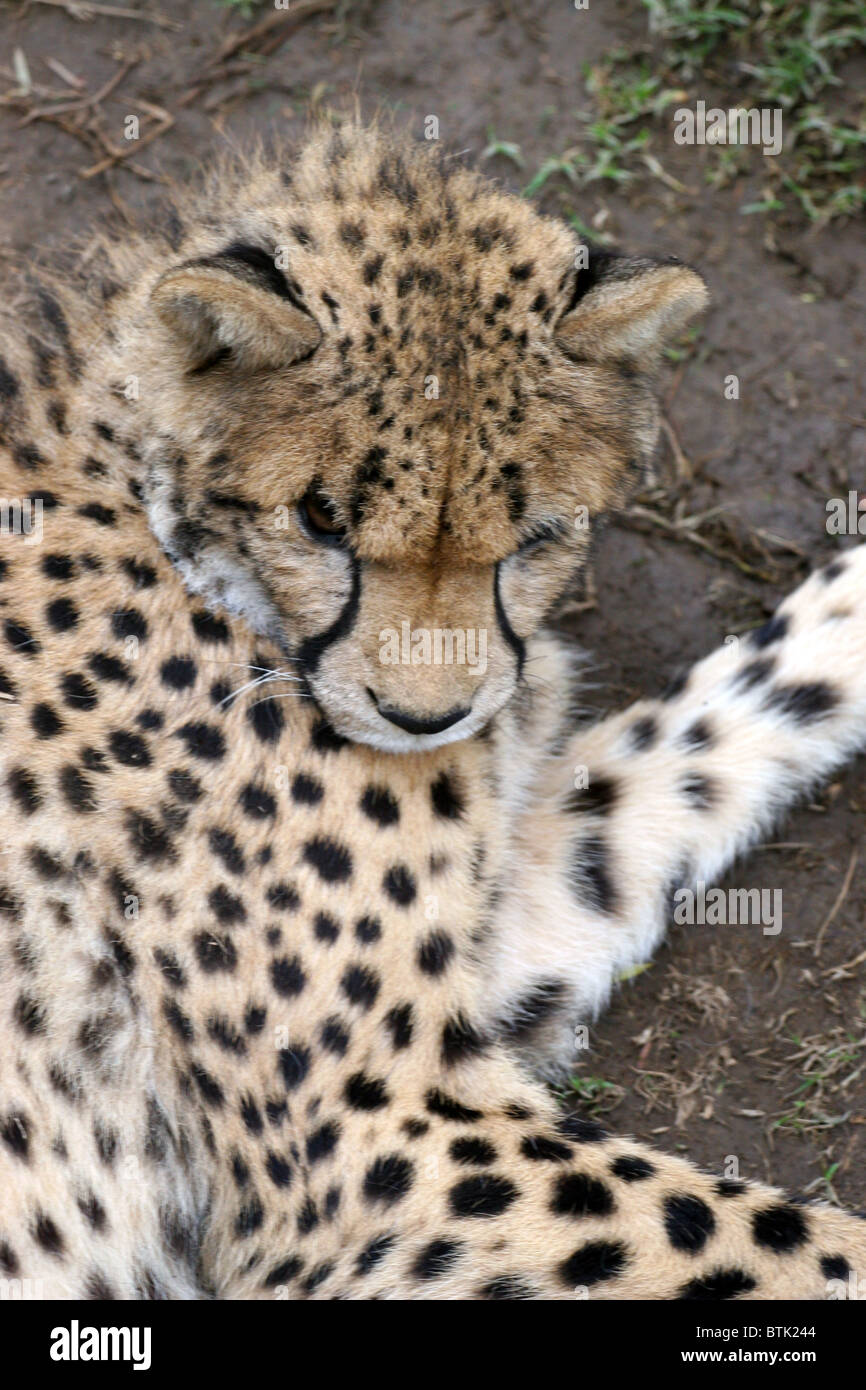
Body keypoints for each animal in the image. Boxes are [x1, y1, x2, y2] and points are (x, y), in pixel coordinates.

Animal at [1, 121, 865, 1302]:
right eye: (319, 518)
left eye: (537, 530)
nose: (424, 719)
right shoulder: (369, 1139)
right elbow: (767, 1235)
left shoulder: (488, 956)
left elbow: (684, 751)